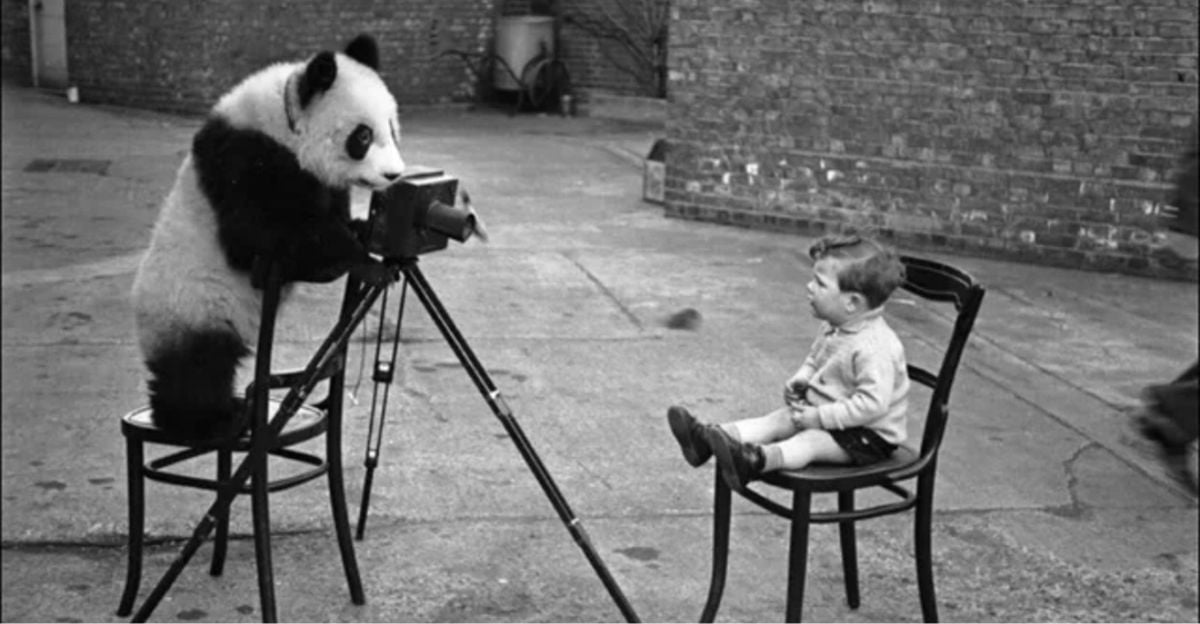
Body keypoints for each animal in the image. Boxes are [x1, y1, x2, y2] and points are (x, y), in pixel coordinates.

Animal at [131, 34, 404, 440]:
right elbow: (259, 241)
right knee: (198, 367)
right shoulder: (246, 160)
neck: (284, 119)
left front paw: (360, 229)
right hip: (191, 304)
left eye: (392, 128)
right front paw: (367, 263)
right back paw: (210, 418)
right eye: (363, 136)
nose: (393, 175)